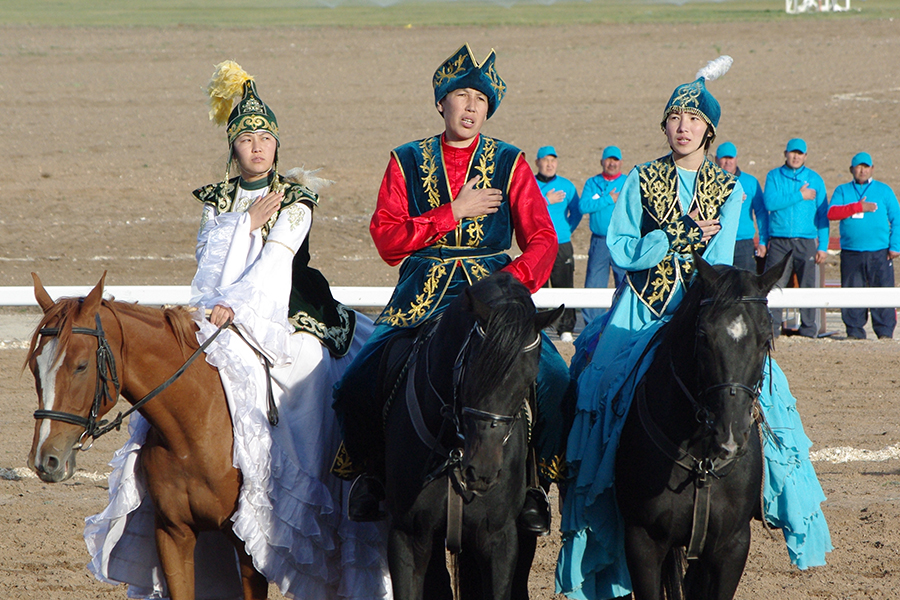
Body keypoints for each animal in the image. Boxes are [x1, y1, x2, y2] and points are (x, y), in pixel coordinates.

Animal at [26, 272, 268, 600]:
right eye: (35, 367)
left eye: (81, 365)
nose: (44, 459)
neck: (198, 424)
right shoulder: (173, 533)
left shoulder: (251, 552)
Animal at [620, 253, 788, 600]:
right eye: (703, 336)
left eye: (765, 340)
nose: (730, 435)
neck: (701, 460)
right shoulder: (641, 541)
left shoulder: (731, 546)